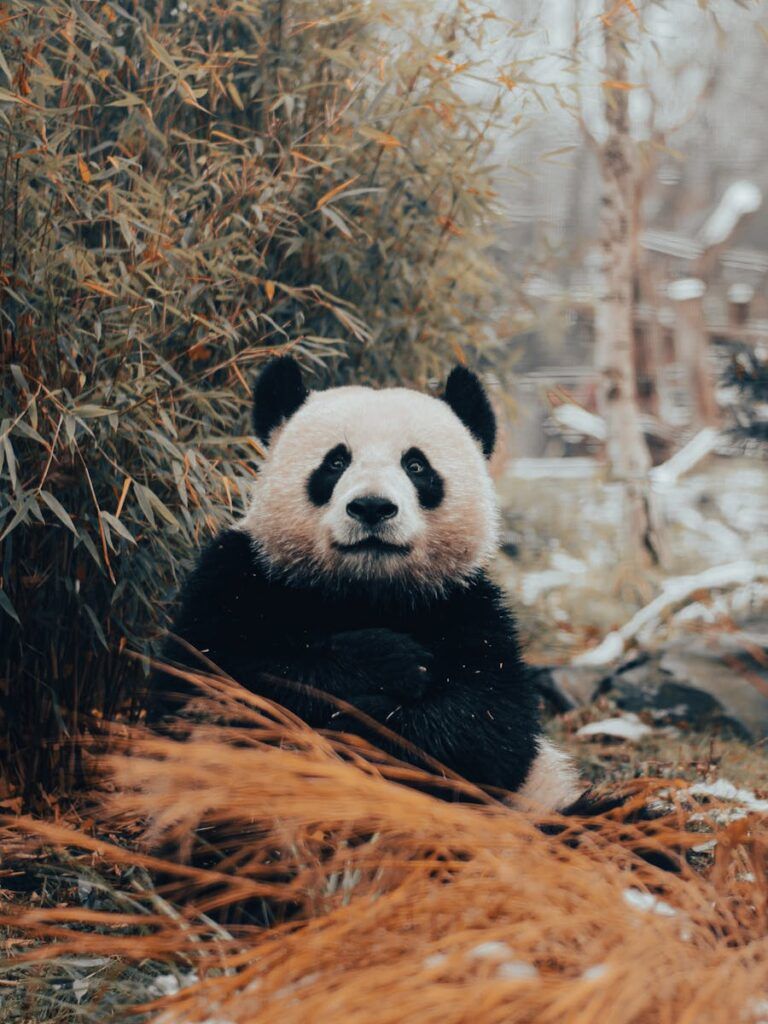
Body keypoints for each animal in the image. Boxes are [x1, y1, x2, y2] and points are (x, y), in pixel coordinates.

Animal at [158, 357, 581, 811]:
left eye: (416, 466)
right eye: (335, 462)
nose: (372, 507)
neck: (366, 589)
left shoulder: (467, 605)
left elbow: (488, 726)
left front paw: (376, 722)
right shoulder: (241, 576)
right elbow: (213, 680)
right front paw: (389, 660)